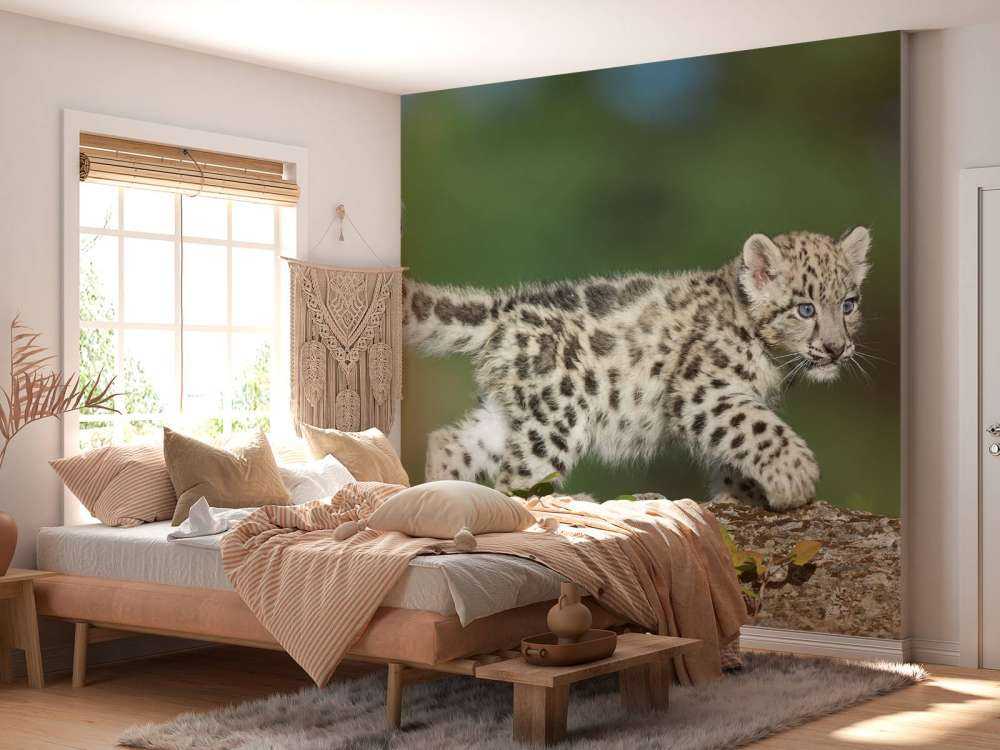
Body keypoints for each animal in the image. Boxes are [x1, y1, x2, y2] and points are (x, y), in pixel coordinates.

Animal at [403, 227, 872, 511]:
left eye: (849, 304)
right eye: (805, 308)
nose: (836, 348)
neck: (772, 362)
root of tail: (503, 308)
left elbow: (737, 445)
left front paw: (740, 494)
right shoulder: (704, 389)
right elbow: (755, 426)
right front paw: (796, 476)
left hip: (515, 412)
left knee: (451, 441)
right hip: (557, 417)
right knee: (517, 482)